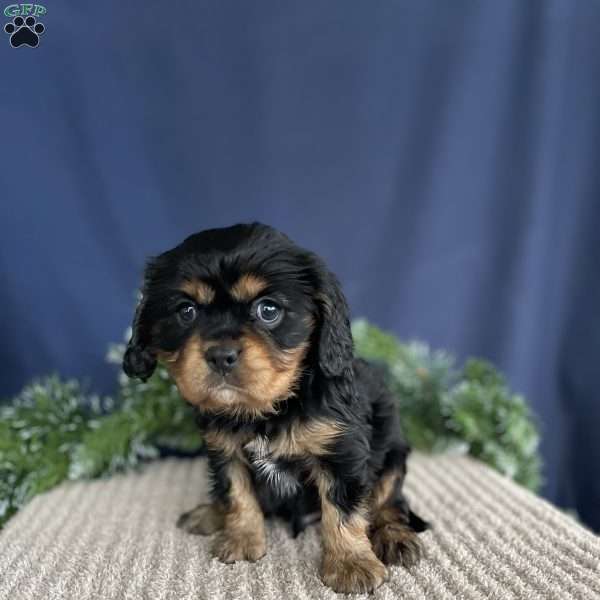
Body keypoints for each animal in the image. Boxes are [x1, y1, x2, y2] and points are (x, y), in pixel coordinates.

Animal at [122, 223, 426, 592]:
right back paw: (211, 512)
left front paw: (350, 563)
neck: (268, 409)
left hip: (394, 454)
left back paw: (395, 536)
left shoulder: (343, 452)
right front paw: (242, 537)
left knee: (390, 501)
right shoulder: (224, 451)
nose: (220, 355)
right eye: (186, 311)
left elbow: (344, 510)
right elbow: (236, 493)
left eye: (268, 310)